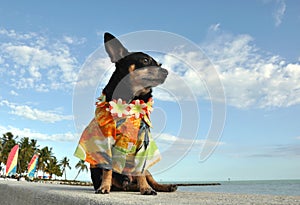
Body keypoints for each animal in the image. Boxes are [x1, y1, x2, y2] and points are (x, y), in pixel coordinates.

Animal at [74, 32, 177, 195]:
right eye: (145, 60)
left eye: (159, 64)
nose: (166, 71)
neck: (131, 101)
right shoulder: (106, 142)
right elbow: (108, 171)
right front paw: (104, 187)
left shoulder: (143, 144)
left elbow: (141, 172)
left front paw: (145, 188)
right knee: (122, 183)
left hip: (146, 170)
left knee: (149, 178)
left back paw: (164, 187)